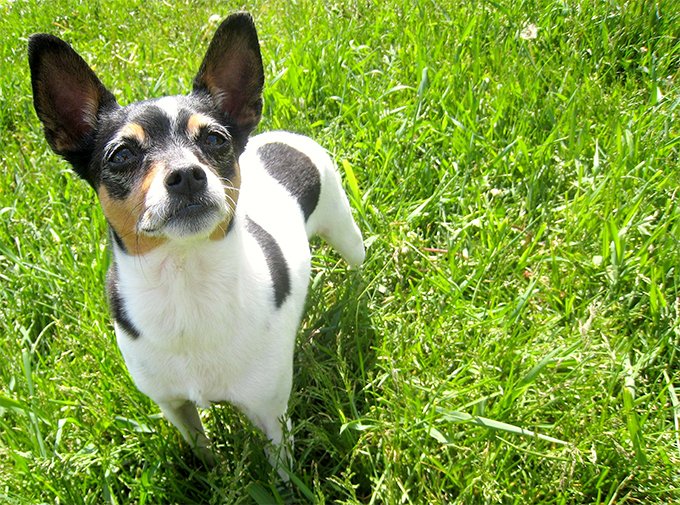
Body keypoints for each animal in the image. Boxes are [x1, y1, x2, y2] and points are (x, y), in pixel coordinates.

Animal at [27, 10, 366, 476]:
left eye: (214, 140)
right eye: (121, 155)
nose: (187, 174)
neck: (185, 283)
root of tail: (282, 138)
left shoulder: (270, 415)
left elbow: (280, 468)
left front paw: (283, 485)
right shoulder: (173, 406)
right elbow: (200, 443)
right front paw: (211, 472)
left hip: (343, 227)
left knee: (357, 263)